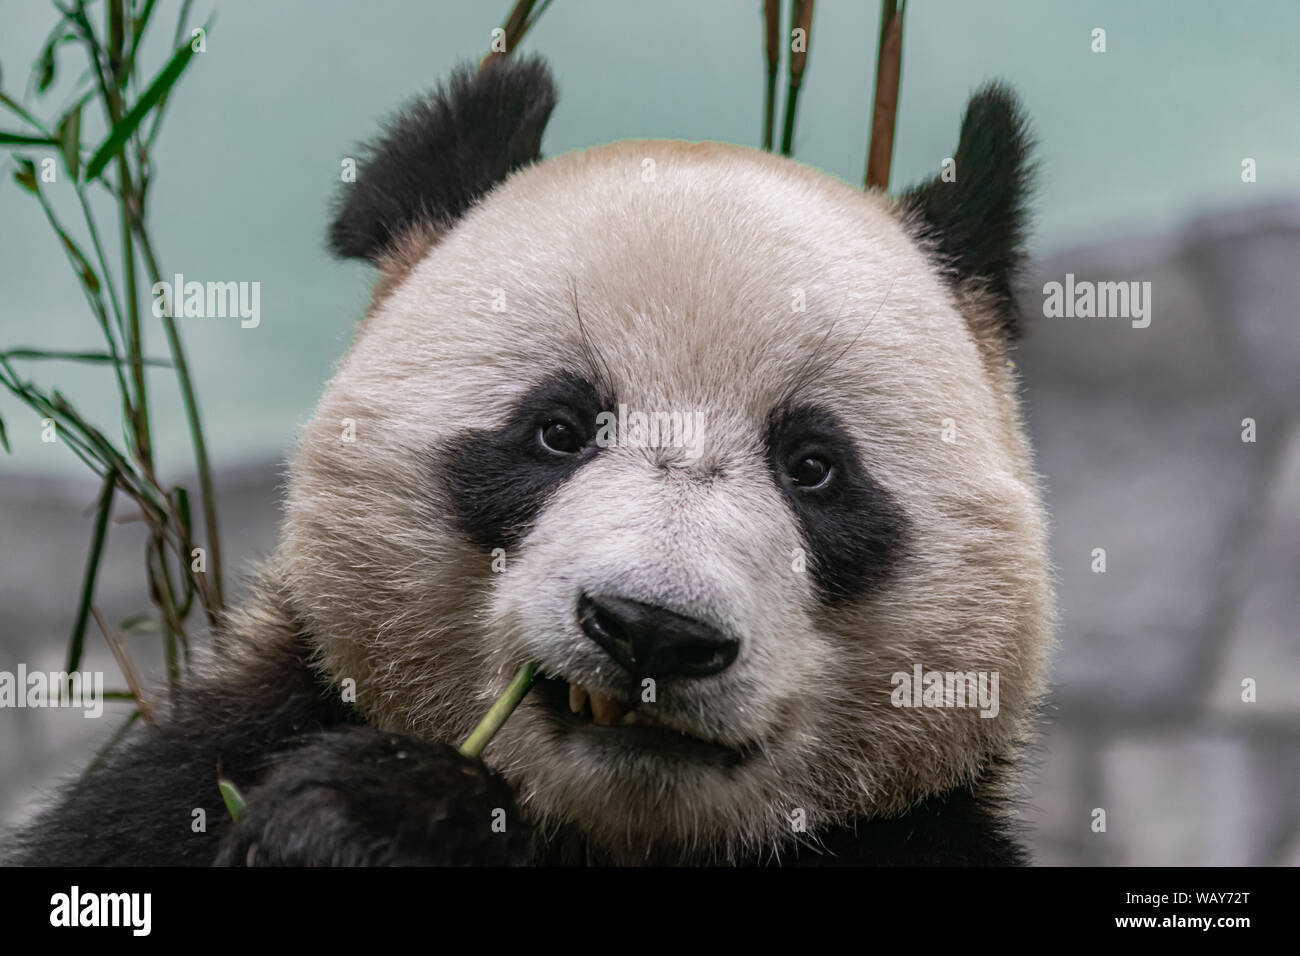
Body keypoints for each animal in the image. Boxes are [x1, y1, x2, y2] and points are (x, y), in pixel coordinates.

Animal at [12, 55, 1055, 868]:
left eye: (813, 466)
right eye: (558, 430)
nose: (653, 631)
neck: (606, 832)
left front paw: (373, 820)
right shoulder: (206, 763)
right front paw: (363, 823)